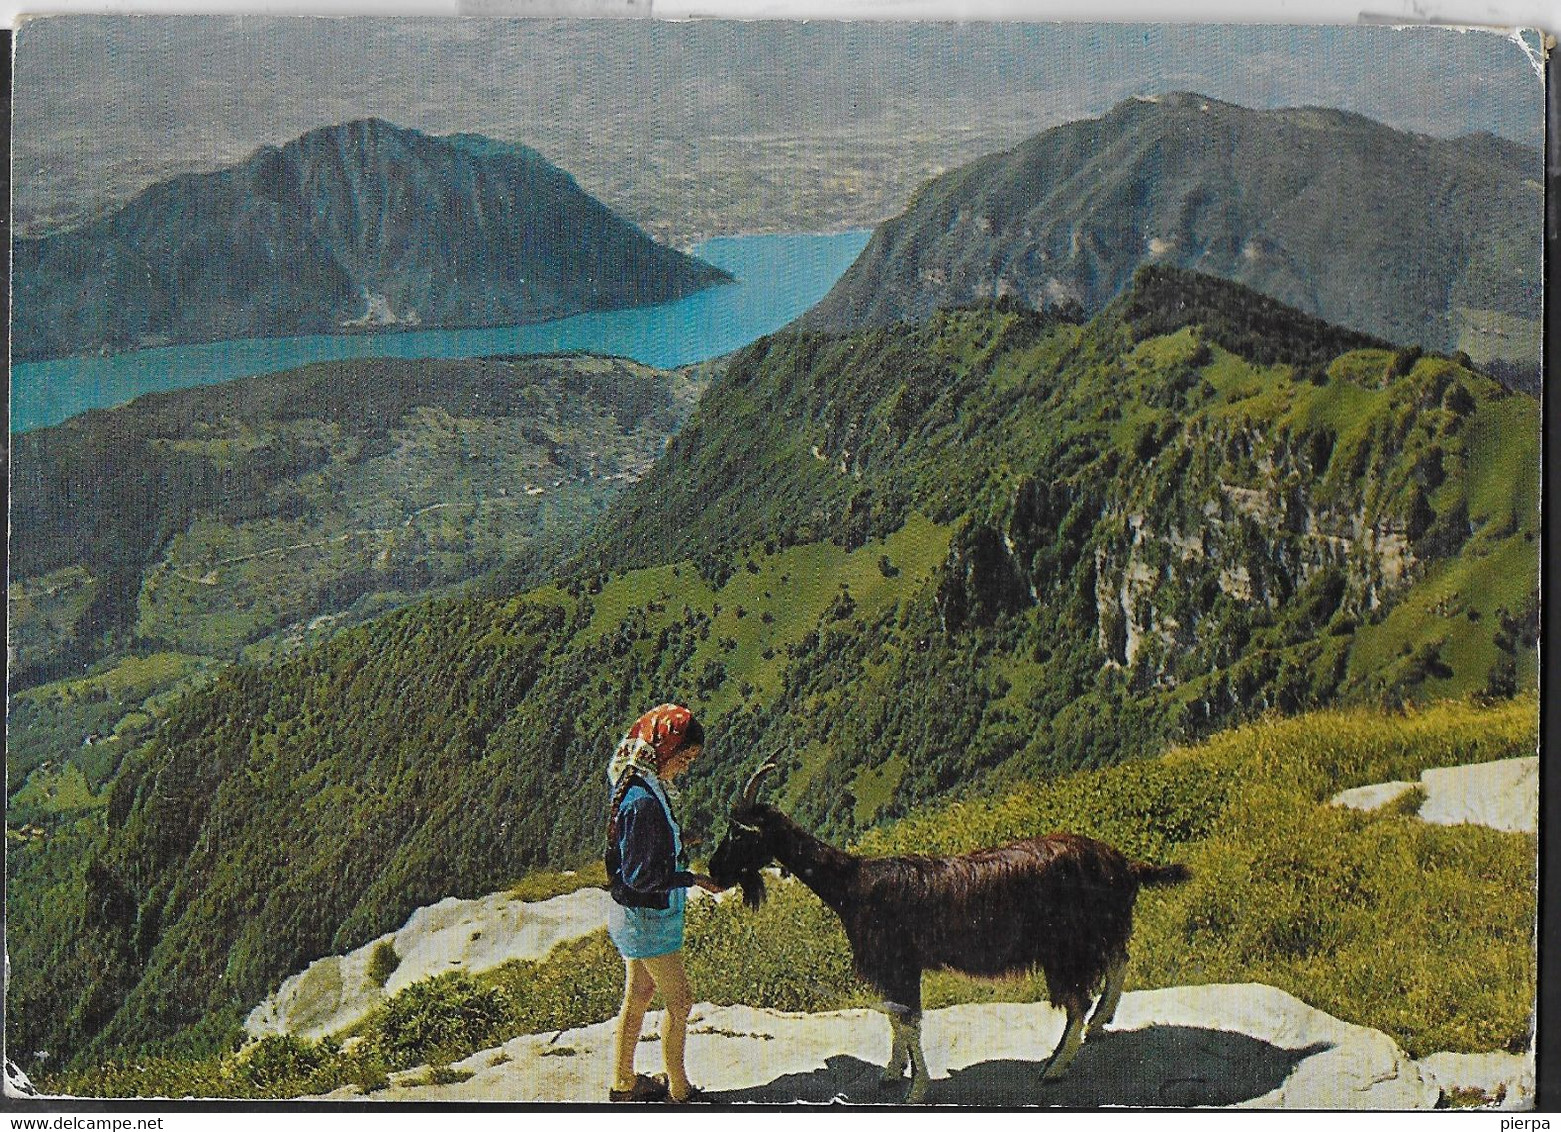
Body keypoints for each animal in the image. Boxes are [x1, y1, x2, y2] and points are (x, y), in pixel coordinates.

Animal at [711, 765, 1192, 1099]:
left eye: (737, 834)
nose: (713, 869)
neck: (853, 883)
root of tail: (1122, 863)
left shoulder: (899, 962)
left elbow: (909, 1021)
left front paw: (917, 1089)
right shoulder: (892, 968)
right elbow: (895, 1018)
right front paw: (891, 1074)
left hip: (1067, 946)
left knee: (1078, 999)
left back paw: (1056, 1067)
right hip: (1093, 934)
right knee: (1117, 962)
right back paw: (1099, 1025)